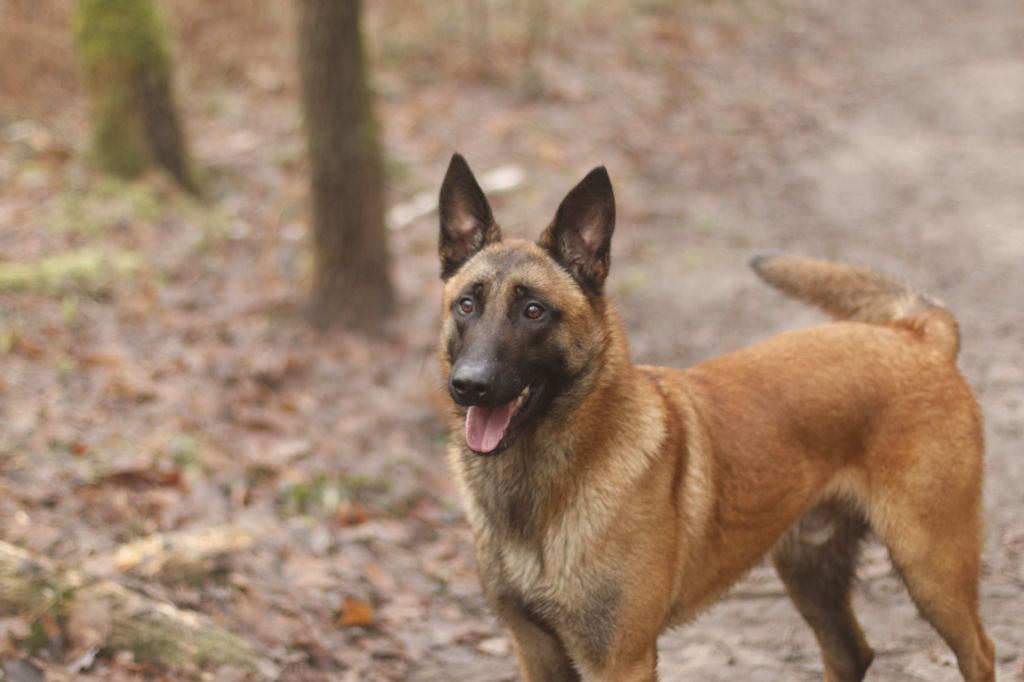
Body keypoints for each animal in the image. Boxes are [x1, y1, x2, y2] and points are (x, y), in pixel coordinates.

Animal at [434, 153, 991, 679]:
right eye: (466, 305)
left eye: (534, 311)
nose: (470, 385)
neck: (536, 491)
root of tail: (917, 334)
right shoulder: (537, 651)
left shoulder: (619, 661)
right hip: (809, 569)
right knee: (851, 653)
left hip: (930, 566)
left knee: (979, 653)